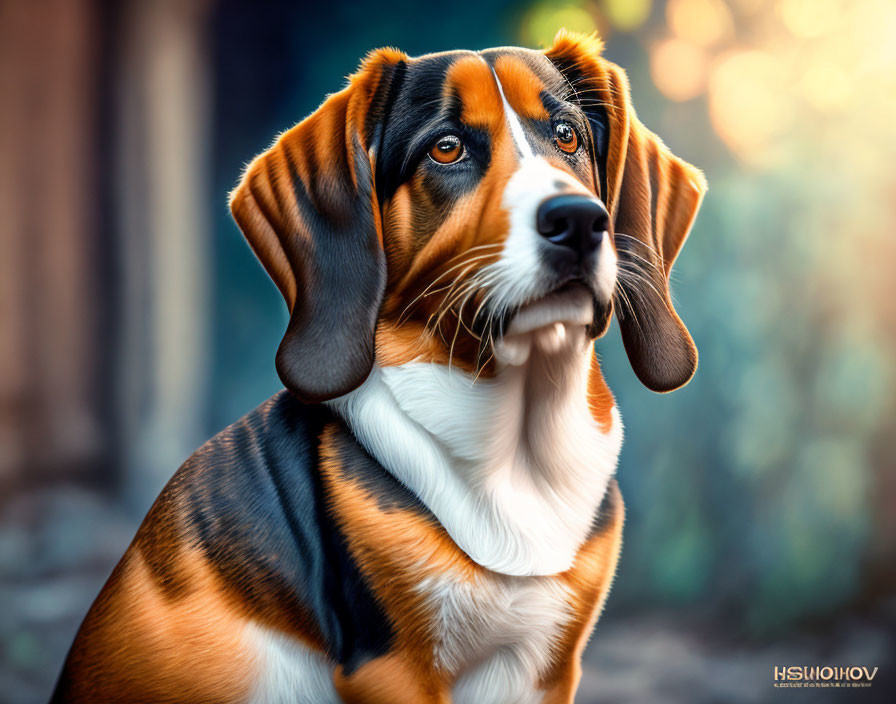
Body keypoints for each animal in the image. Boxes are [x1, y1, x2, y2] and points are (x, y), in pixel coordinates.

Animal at [52, 28, 704, 704]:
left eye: (568, 135)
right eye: (446, 148)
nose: (577, 220)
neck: (514, 449)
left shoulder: (546, 670)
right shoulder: (390, 667)